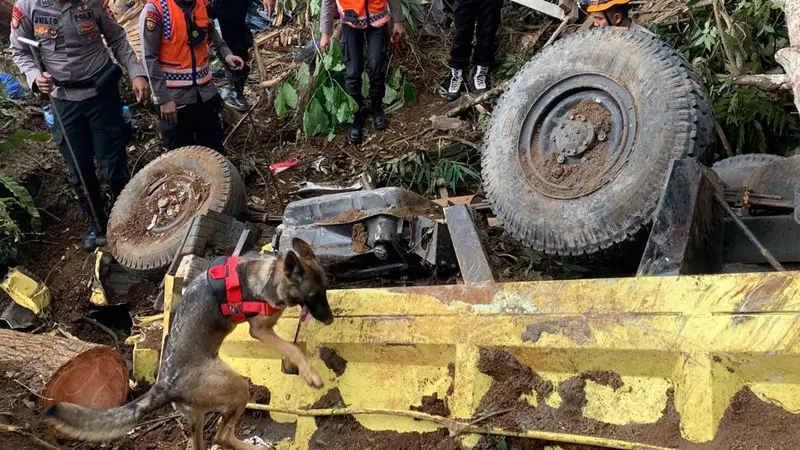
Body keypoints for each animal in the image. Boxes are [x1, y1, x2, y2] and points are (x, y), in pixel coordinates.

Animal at [44, 237, 332, 448]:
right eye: (313, 295)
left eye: (326, 290)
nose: (329, 320)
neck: (271, 272)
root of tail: (165, 386)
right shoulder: (260, 330)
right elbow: (292, 347)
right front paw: (310, 373)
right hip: (238, 387)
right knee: (222, 436)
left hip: (197, 418)